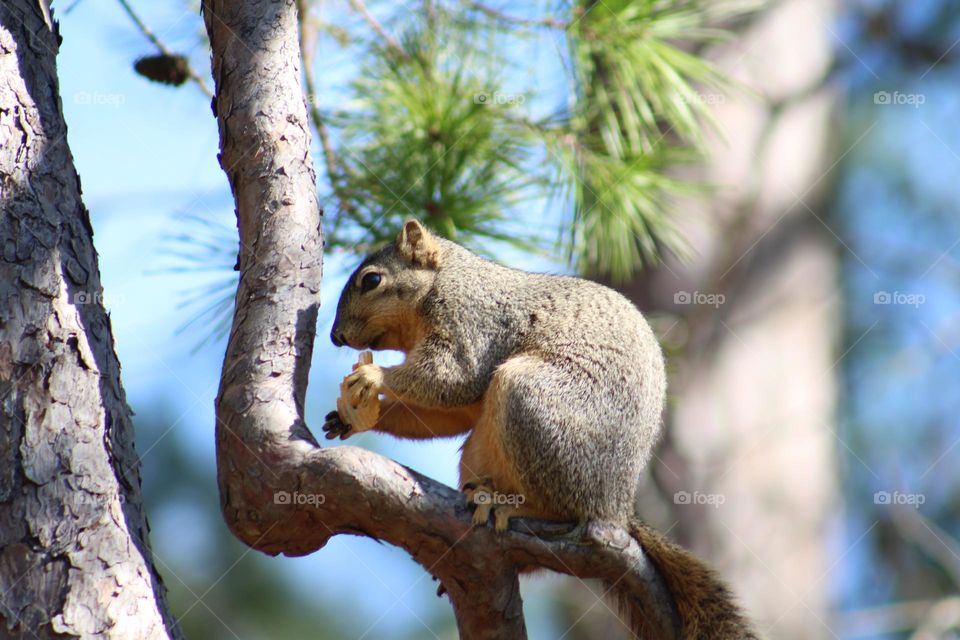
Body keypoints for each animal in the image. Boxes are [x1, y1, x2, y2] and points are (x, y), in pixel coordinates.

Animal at [324, 220, 756, 639]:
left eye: (371, 280)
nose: (336, 336)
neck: (444, 281)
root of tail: (616, 508)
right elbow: (451, 412)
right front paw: (353, 417)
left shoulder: (472, 325)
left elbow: (453, 377)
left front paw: (376, 376)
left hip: (534, 403)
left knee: (564, 511)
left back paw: (512, 507)